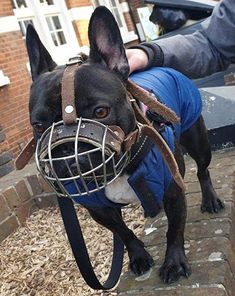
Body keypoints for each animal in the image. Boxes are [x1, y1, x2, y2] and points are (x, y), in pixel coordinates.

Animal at [25, 5, 224, 284]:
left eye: (101, 111)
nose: (66, 151)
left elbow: (174, 230)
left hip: (198, 141)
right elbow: (123, 232)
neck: (121, 169)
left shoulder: (174, 190)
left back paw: (210, 200)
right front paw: (138, 256)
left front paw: (173, 263)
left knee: (203, 170)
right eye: (39, 125)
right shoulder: (99, 209)